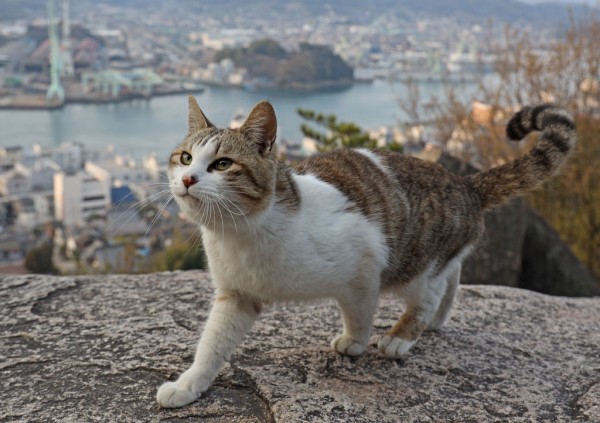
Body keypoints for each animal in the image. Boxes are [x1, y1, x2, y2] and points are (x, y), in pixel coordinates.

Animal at [156, 95, 576, 408]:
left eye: (223, 164)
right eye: (185, 158)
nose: (188, 179)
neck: (243, 234)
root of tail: (465, 183)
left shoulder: (362, 266)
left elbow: (359, 311)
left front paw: (355, 343)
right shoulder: (236, 295)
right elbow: (212, 344)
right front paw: (188, 384)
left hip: (416, 263)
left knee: (429, 291)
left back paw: (403, 334)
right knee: (452, 274)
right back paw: (438, 317)